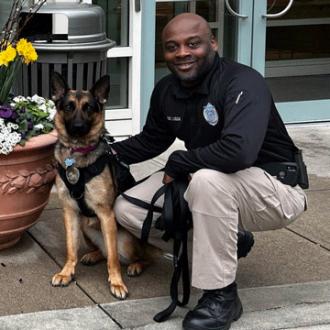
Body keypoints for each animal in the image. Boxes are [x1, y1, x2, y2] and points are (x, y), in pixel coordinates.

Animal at [50, 73, 152, 300]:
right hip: (84, 226)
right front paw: (66, 272)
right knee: (103, 251)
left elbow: (113, 260)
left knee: (135, 255)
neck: (77, 155)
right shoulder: (70, 213)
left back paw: (136, 266)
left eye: (89, 108)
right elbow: (71, 249)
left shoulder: (106, 214)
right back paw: (94, 255)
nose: (78, 127)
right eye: (69, 107)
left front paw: (116, 283)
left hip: (125, 241)